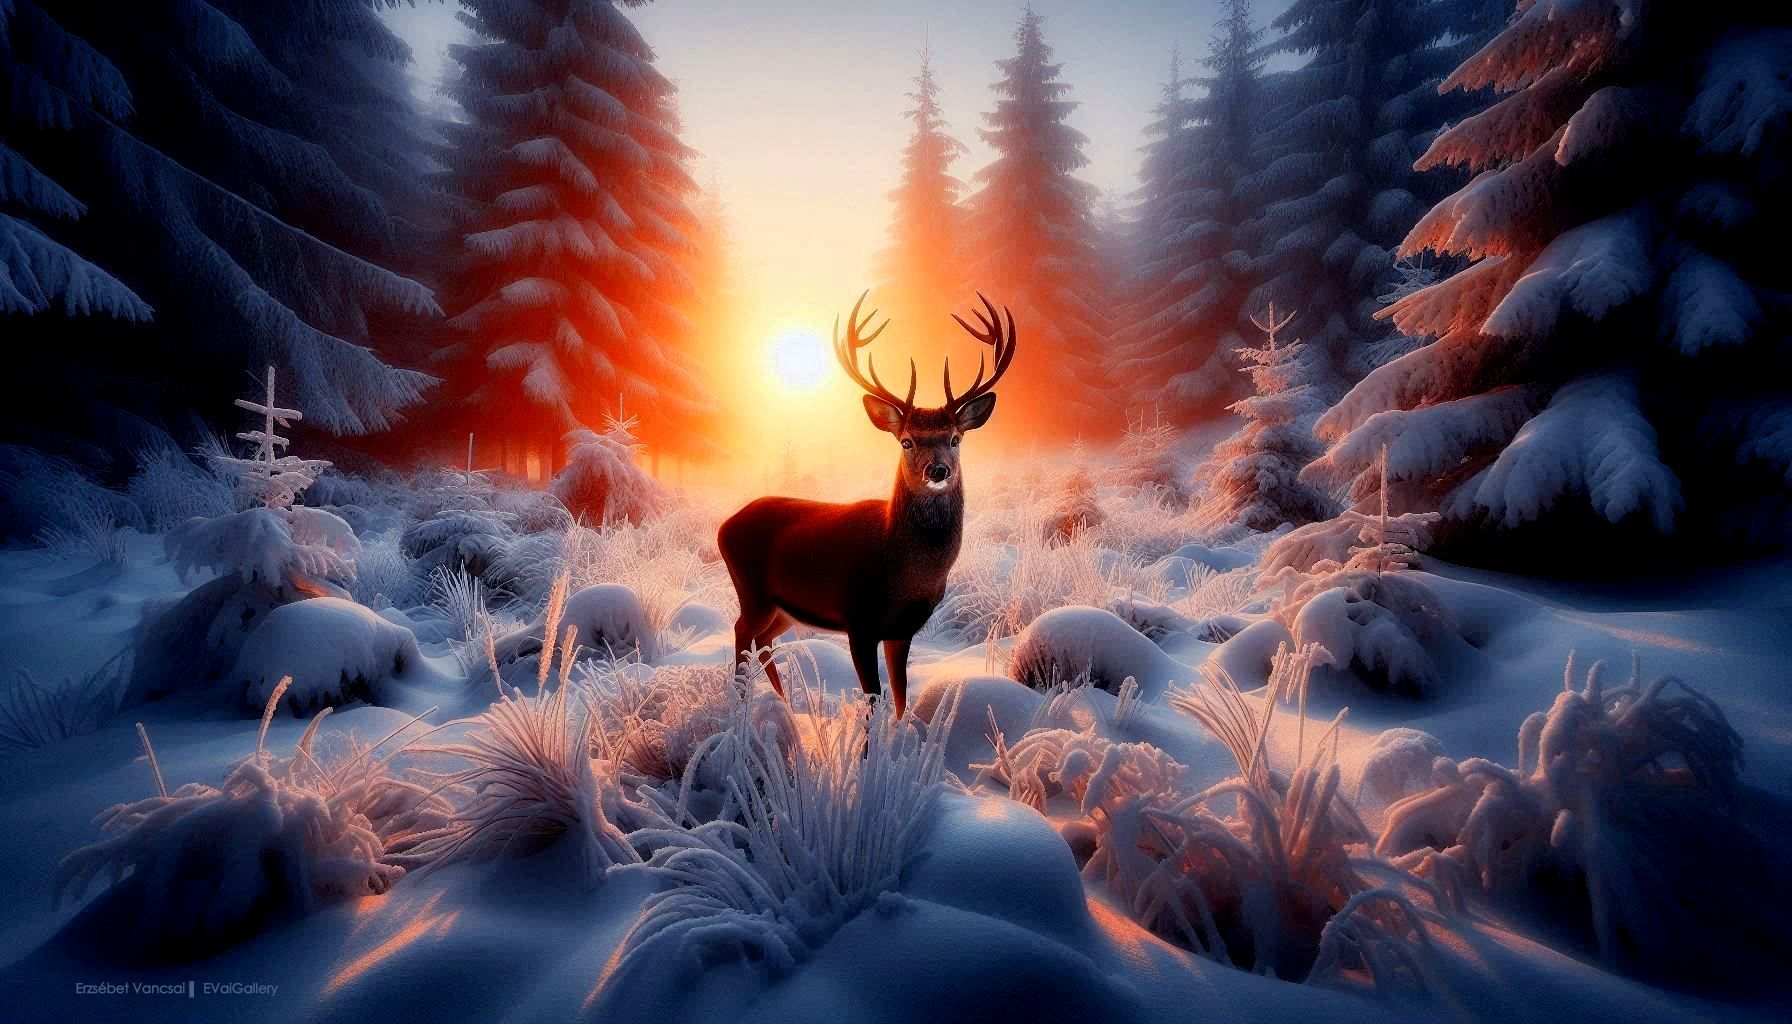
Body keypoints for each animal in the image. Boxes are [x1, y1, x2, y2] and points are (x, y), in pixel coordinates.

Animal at [718, 292, 1018, 718]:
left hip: (784, 607)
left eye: (955, 438)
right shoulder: (858, 620)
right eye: (906, 440)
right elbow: (873, 700)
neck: (903, 570)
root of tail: (724, 525)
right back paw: (745, 708)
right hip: (752, 591)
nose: (938, 470)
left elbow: (900, 697)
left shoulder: (902, 629)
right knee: (743, 633)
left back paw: (785, 704)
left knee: (763, 641)